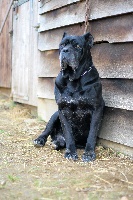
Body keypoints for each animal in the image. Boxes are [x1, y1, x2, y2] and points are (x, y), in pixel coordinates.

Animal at [33, 32, 104, 162]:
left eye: (77, 46)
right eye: (62, 45)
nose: (65, 50)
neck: (73, 79)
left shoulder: (97, 108)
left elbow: (92, 133)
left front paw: (89, 153)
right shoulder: (62, 110)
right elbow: (68, 133)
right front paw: (71, 152)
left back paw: (57, 143)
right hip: (55, 115)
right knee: (47, 130)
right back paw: (40, 140)